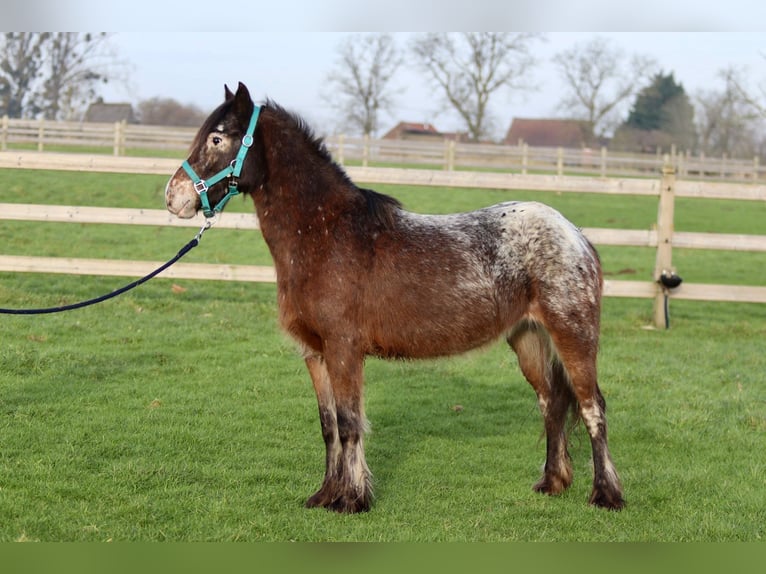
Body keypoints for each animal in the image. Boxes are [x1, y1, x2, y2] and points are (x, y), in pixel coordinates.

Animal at [165, 83, 628, 516]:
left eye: (218, 138)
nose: (173, 197)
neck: (325, 235)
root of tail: (576, 234)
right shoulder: (316, 354)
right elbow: (328, 426)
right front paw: (326, 494)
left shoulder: (344, 349)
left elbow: (350, 424)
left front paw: (352, 499)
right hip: (528, 338)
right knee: (552, 403)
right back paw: (552, 482)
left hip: (573, 336)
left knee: (592, 406)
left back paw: (606, 495)